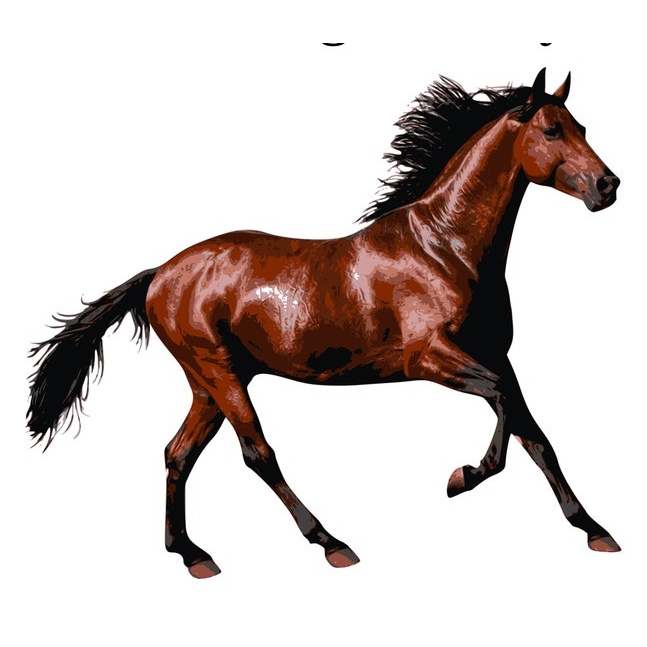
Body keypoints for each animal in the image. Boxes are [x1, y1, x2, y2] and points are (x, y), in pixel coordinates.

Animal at [27, 69, 621, 579]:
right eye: (551, 129)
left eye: (582, 128)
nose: (608, 185)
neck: (444, 248)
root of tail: (159, 274)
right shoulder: (430, 357)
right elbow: (501, 405)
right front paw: (461, 478)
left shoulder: (496, 354)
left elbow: (533, 432)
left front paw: (595, 530)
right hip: (218, 372)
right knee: (257, 454)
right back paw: (331, 543)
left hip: (209, 383)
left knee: (178, 454)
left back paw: (192, 554)